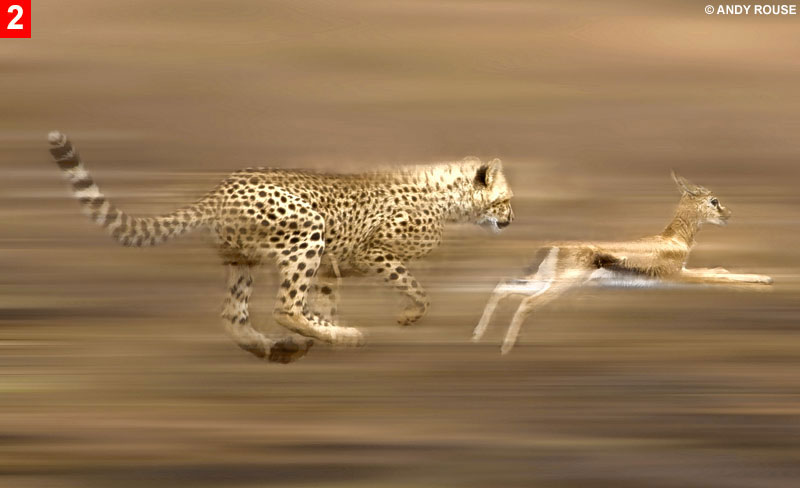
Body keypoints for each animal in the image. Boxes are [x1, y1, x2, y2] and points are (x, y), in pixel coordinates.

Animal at [48, 131, 514, 363]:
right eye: (506, 200)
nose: (511, 220)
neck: (447, 196)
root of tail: (219, 189)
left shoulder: (330, 267)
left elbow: (322, 304)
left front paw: (318, 336)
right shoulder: (369, 252)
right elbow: (414, 286)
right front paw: (407, 315)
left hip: (244, 260)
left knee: (235, 314)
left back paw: (273, 347)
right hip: (308, 231)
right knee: (285, 307)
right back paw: (330, 337)